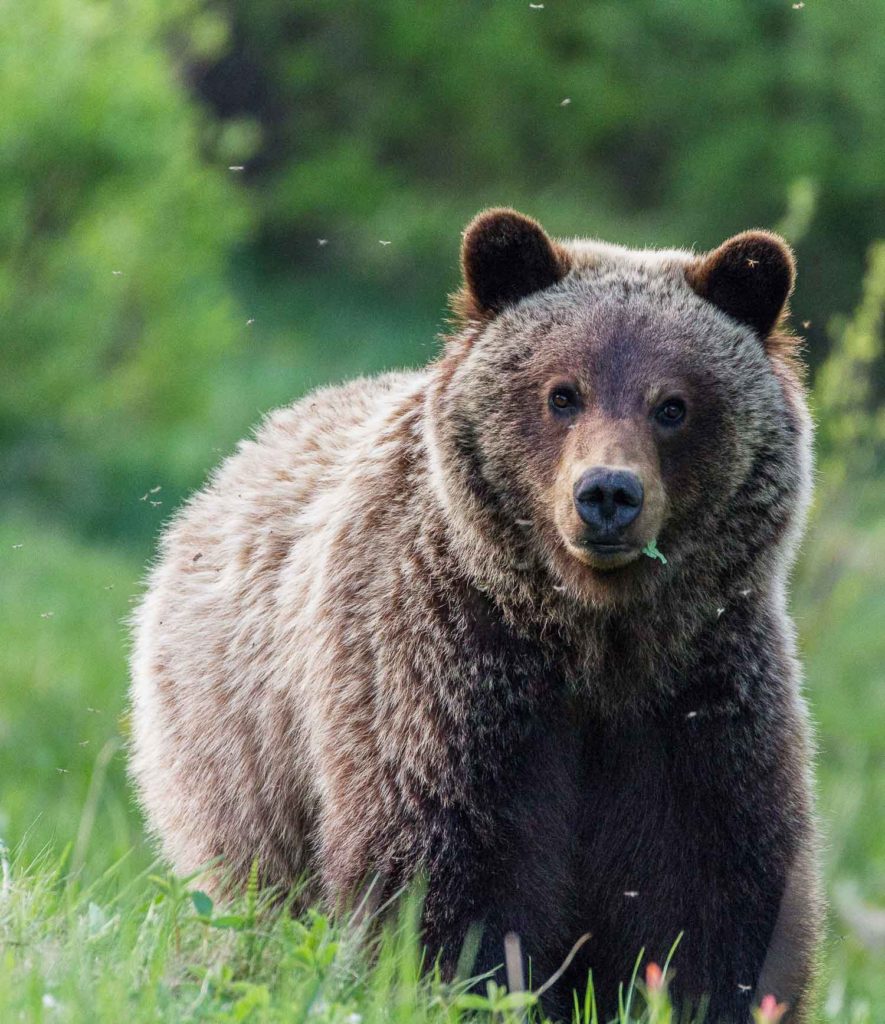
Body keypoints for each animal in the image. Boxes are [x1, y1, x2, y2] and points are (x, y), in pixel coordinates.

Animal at [131, 207, 823, 1015]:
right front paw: (457, 984)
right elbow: (447, 869)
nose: (607, 493)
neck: (593, 638)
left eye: (673, 405)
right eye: (562, 393)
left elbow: (712, 898)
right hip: (240, 755)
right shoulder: (448, 673)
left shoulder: (699, 701)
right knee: (255, 895)